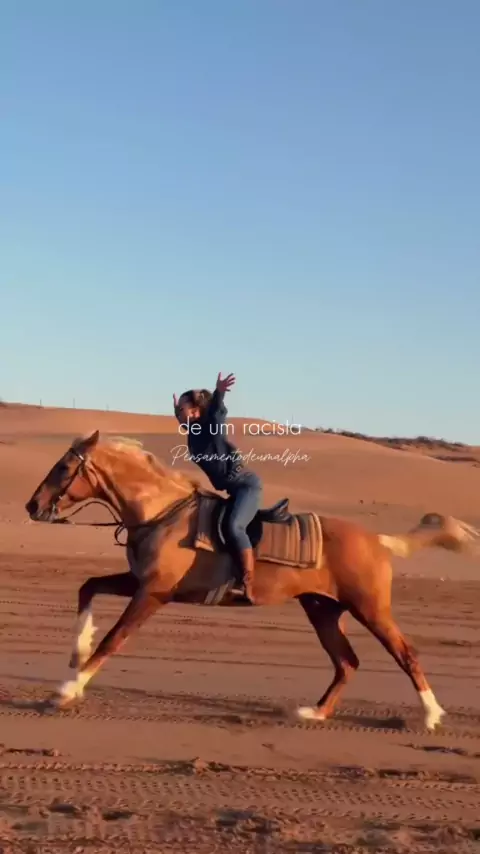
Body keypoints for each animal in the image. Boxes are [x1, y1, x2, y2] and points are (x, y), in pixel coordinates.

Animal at [25, 430, 480, 729]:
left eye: (64, 467)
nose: (32, 505)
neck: (161, 512)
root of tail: (377, 539)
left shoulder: (153, 593)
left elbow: (113, 639)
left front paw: (68, 689)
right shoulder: (140, 582)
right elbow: (88, 586)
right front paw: (76, 653)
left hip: (370, 608)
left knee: (406, 653)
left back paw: (431, 715)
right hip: (323, 609)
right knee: (346, 661)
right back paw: (314, 712)